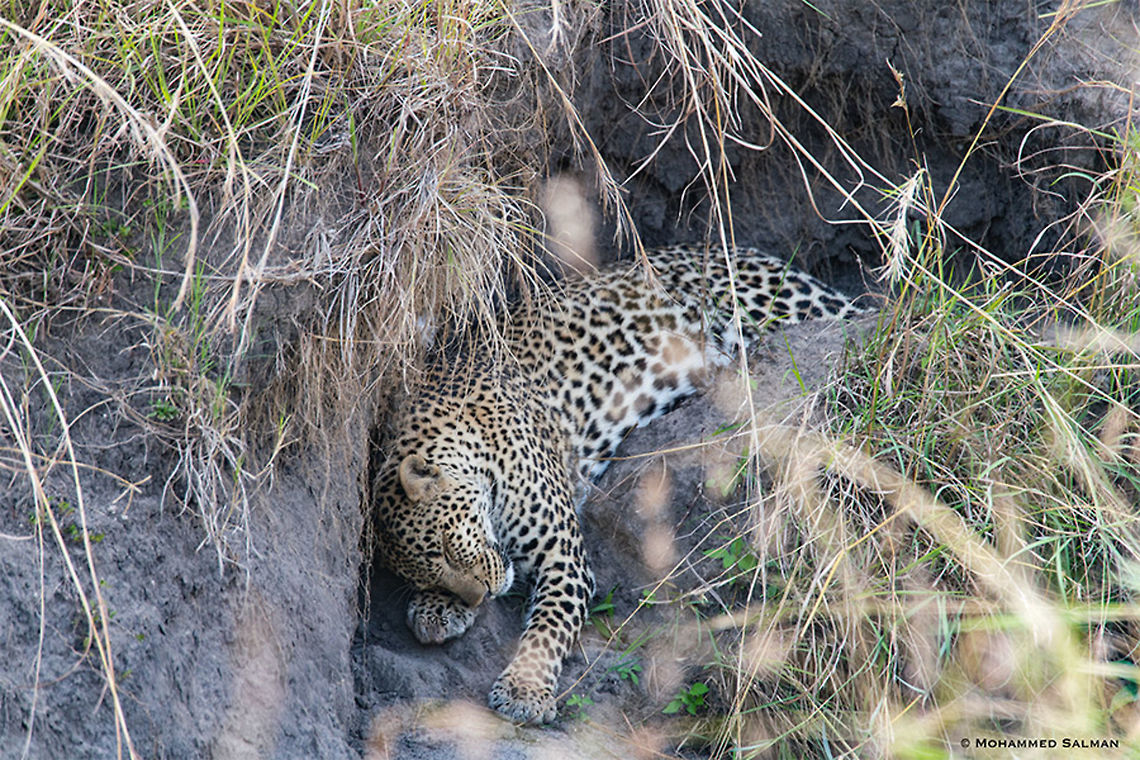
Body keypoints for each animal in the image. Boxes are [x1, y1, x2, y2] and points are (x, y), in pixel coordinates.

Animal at [371, 244, 868, 724]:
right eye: (428, 570)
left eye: (447, 547)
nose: (484, 596)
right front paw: (437, 607)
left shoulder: (564, 558)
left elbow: (547, 629)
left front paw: (524, 691)